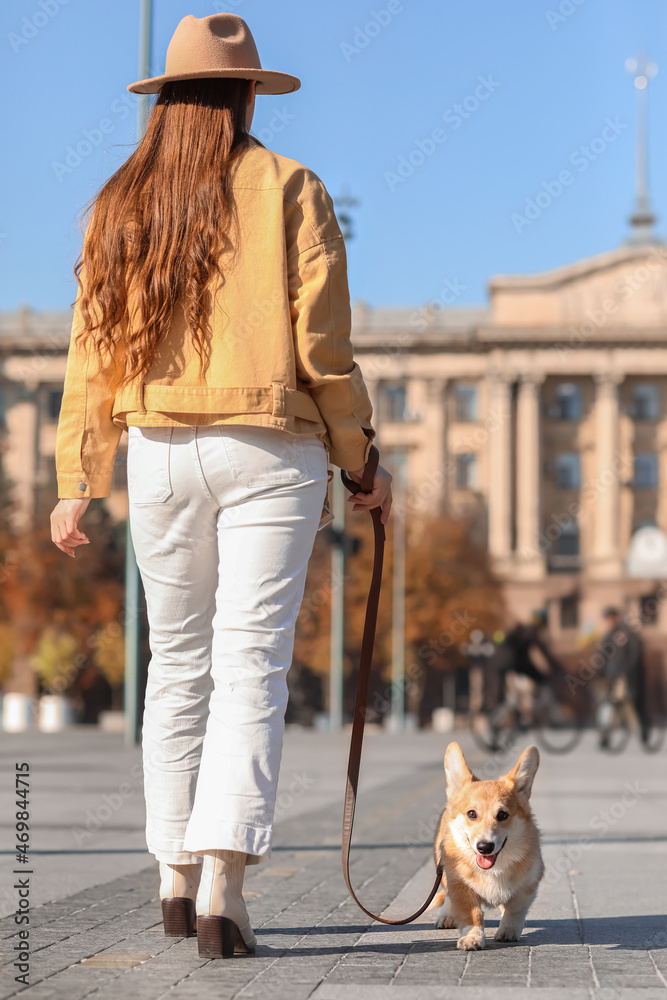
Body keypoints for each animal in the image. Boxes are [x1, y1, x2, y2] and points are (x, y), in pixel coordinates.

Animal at [434, 748, 544, 948]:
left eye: (502, 815)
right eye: (471, 814)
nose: (485, 847)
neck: (493, 868)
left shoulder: (528, 884)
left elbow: (514, 909)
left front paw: (508, 931)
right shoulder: (460, 885)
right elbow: (471, 914)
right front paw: (473, 937)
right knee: (447, 894)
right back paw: (446, 915)